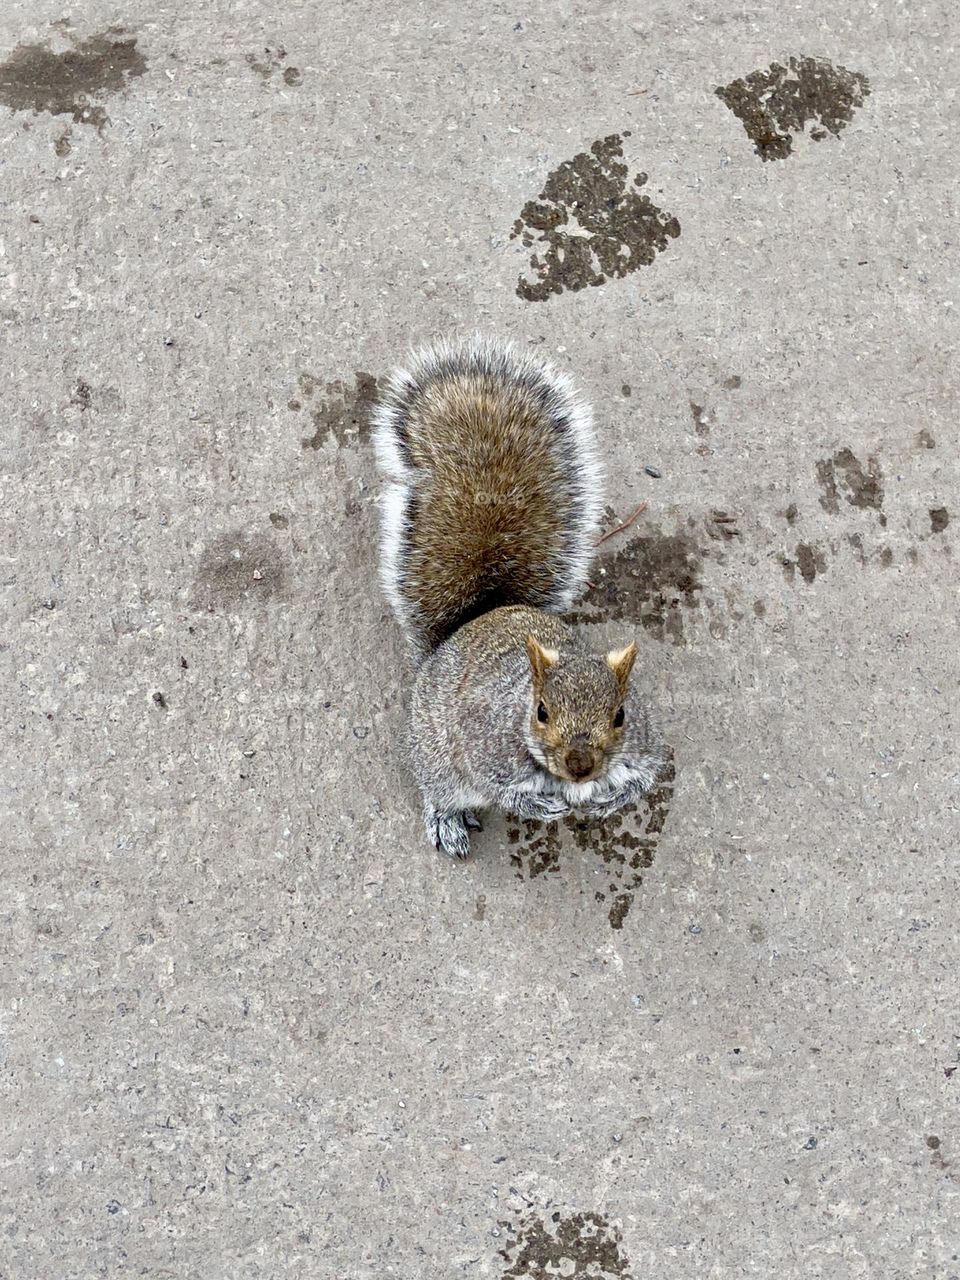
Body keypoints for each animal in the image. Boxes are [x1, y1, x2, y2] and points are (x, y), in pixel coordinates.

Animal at [372, 336, 664, 859]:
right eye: (541, 711)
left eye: (620, 715)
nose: (580, 766)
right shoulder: (482, 742)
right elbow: (498, 787)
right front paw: (537, 806)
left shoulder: (644, 743)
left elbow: (644, 777)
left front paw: (610, 801)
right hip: (436, 754)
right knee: (439, 788)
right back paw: (447, 818)